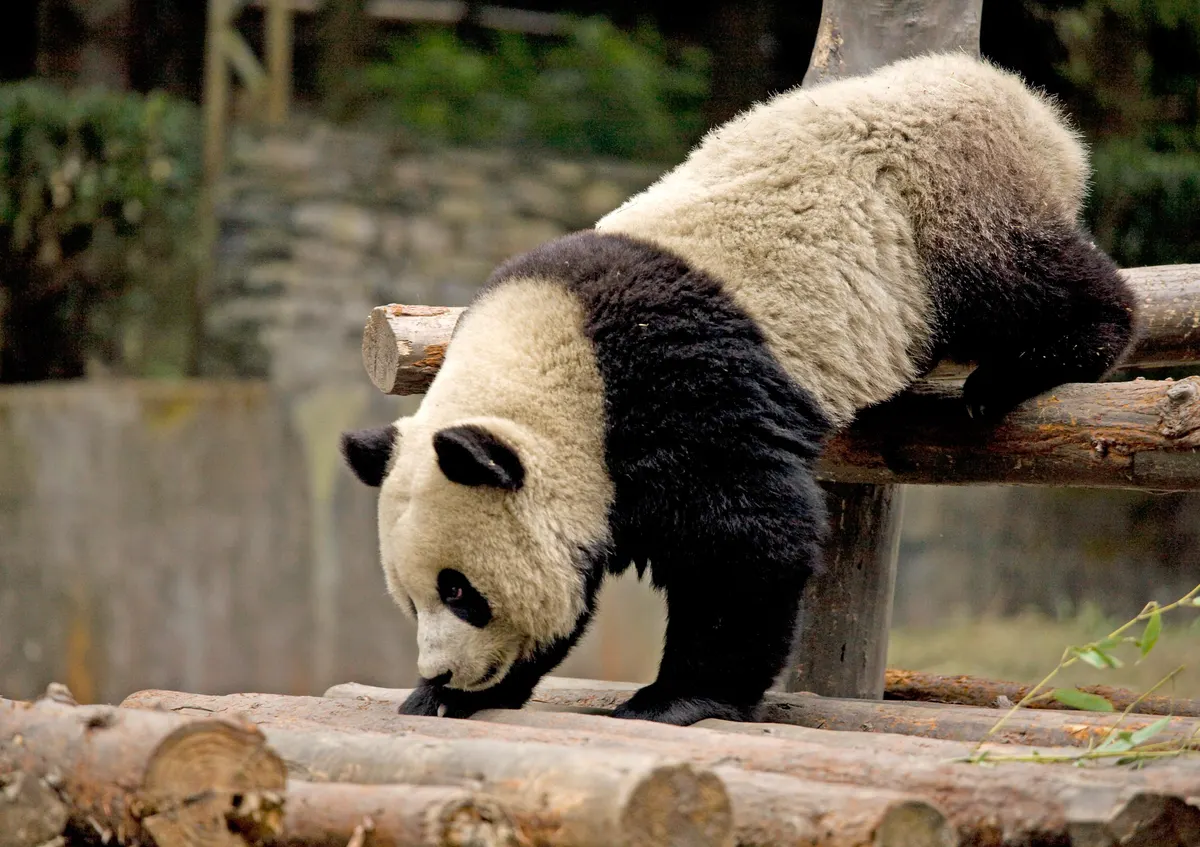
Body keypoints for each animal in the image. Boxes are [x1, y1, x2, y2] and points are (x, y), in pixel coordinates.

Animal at [341, 52, 1137, 727]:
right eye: (410, 599)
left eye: (459, 591)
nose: (444, 672)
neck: (559, 359)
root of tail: (1021, 101)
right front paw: (449, 697)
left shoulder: (674, 382)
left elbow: (744, 539)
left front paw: (676, 698)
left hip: (944, 208)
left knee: (1028, 280)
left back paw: (1030, 363)